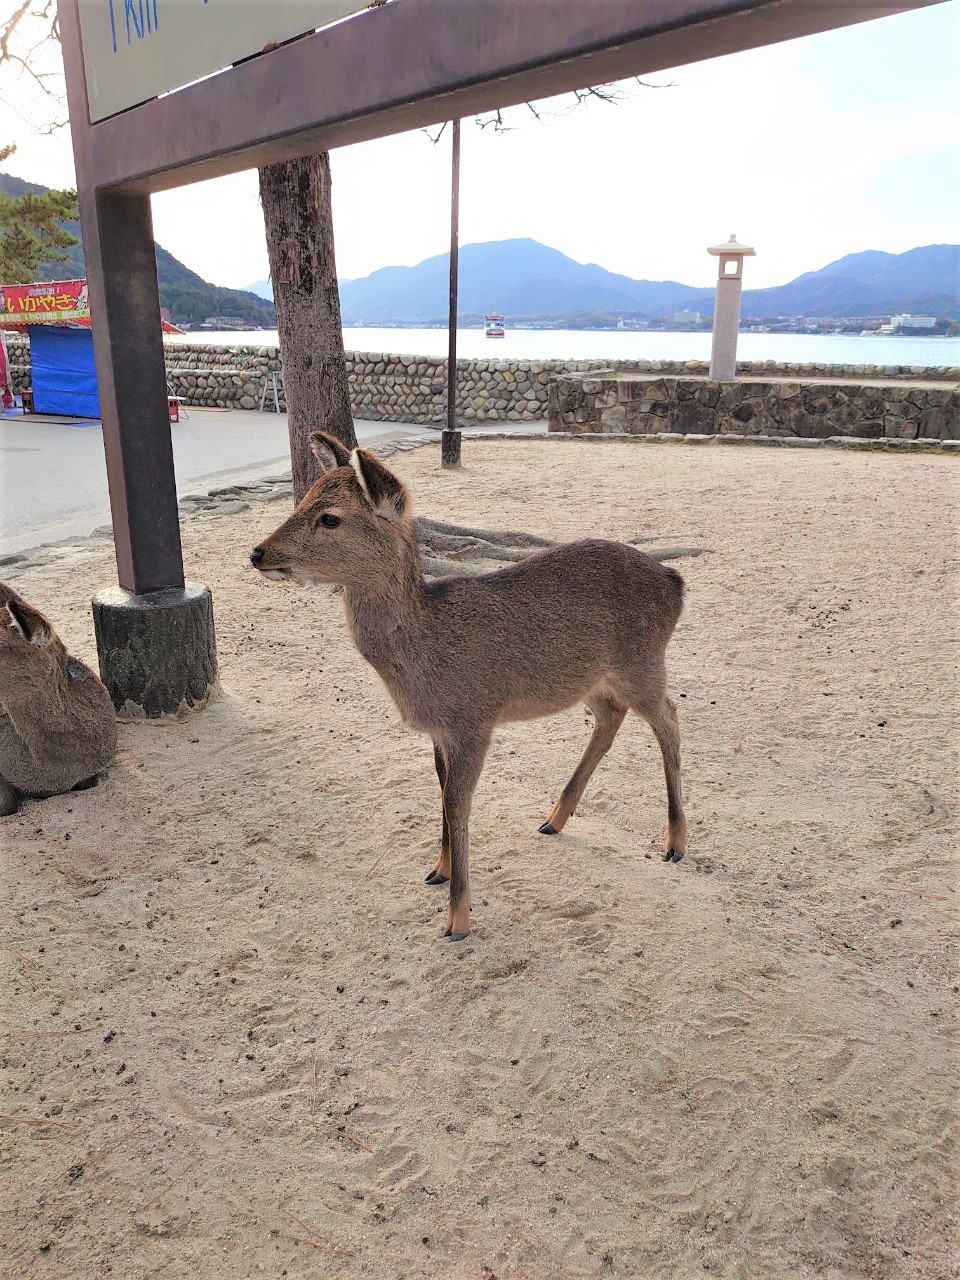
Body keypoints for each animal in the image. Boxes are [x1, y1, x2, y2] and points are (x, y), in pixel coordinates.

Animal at [253, 432, 691, 942]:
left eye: (330, 517)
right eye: (303, 496)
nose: (258, 553)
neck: (427, 657)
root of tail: (676, 582)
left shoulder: (473, 721)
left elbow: (458, 804)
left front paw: (457, 920)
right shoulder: (439, 732)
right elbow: (441, 792)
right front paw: (437, 870)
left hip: (641, 663)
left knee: (669, 718)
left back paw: (675, 843)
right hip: (591, 678)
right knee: (610, 718)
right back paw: (553, 819)